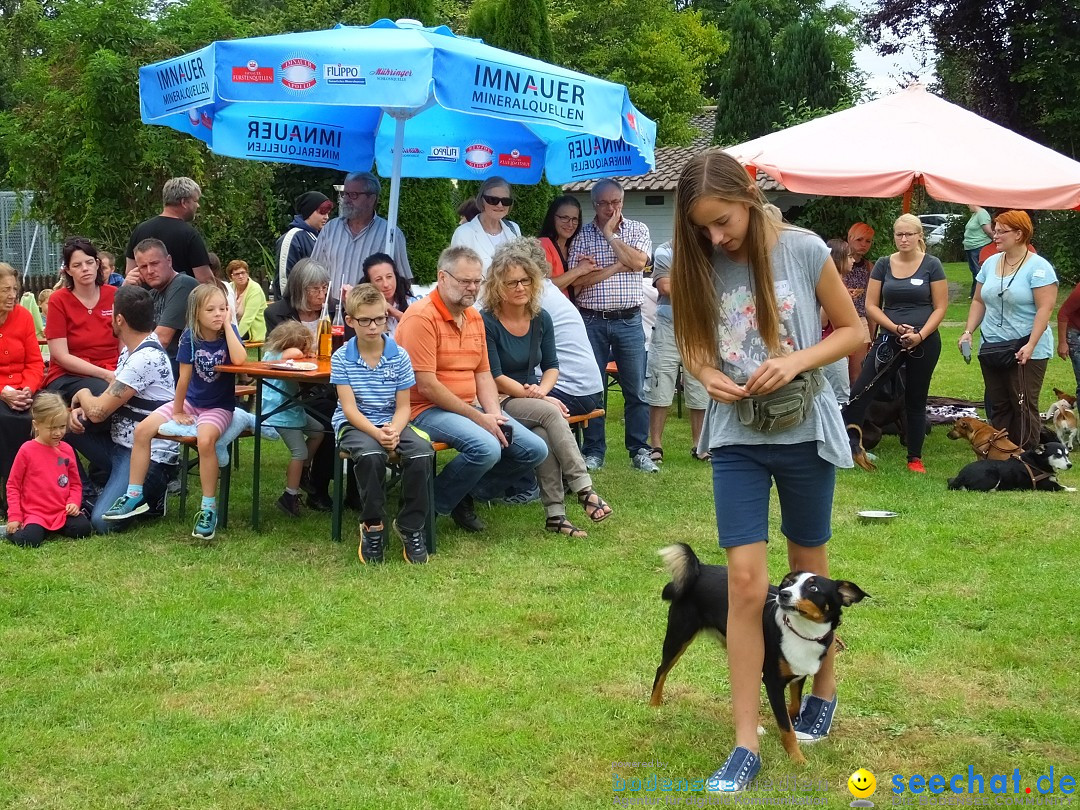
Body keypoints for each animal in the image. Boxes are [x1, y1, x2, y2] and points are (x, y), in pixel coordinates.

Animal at [648, 546, 868, 768]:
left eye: (813, 588)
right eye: (789, 583)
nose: (783, 594)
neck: (802, 632)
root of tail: (700, 569)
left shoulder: (799, 675)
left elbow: (794, 708)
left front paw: (791, 724)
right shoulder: (773, 681)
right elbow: (786, 728)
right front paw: (797, 759)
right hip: (679, 635)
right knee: (661, 670)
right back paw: (654, 706)